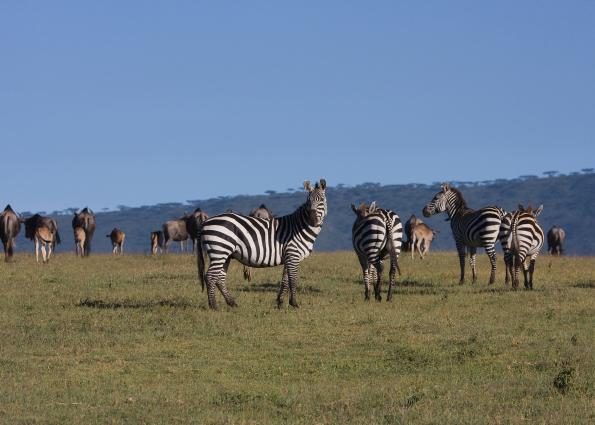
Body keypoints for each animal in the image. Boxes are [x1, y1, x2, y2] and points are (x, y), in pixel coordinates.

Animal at [197, 178, 328, 308]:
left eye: (321, 200)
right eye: (308, 201)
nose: (312, 219)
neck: (299, 227)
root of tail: (205, 222)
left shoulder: (288, 256)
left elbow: (285, 280)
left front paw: (280, 303)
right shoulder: (293, 254)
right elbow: (293, 279)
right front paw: (294, 303)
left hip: (225, 254)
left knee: (219, 278)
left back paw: (232, 303)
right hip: (219, 251)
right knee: (210, 277)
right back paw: (214, 306)